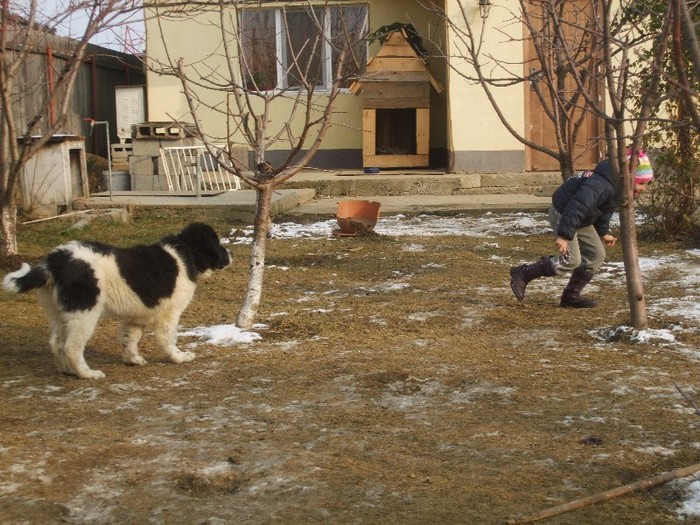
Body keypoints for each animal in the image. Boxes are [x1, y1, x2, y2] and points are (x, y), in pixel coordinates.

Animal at [3, 223, 232, 378]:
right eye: (218, 243)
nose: (231, 254)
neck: (186, 252)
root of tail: (55, 261)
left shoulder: (136, 316)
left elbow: (130, 339)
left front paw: (133, 360)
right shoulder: (169, 314)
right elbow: (167, 339)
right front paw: (179, 357)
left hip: (59, 312)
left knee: (56, 343)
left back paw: (67, 371)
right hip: (84, 313)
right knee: (71, 347)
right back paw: (88, 374)